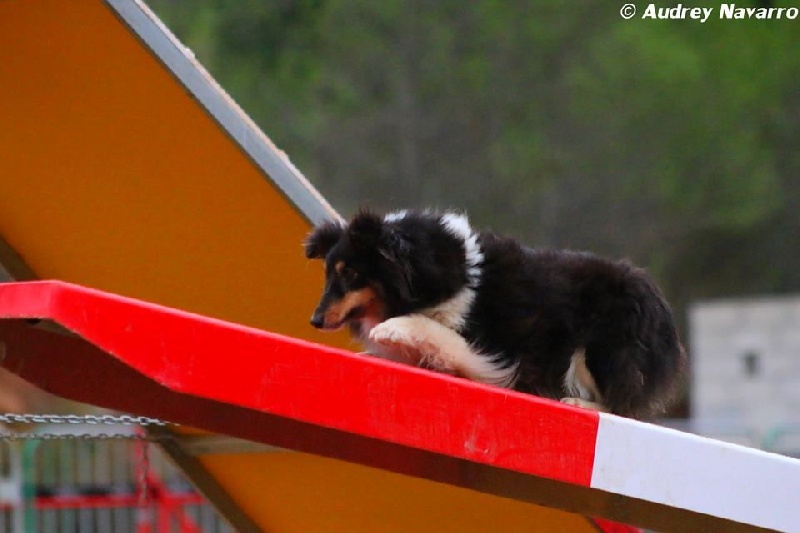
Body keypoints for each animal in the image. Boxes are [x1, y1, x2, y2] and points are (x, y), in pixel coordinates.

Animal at [304, 209, 684, 420]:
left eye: (350, 273)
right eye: (328, 274)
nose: (315, 321)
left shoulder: (491, 349)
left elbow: (438, 333)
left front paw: (393, 329)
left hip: (600, 347)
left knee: (622, 404)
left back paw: (578, 403)